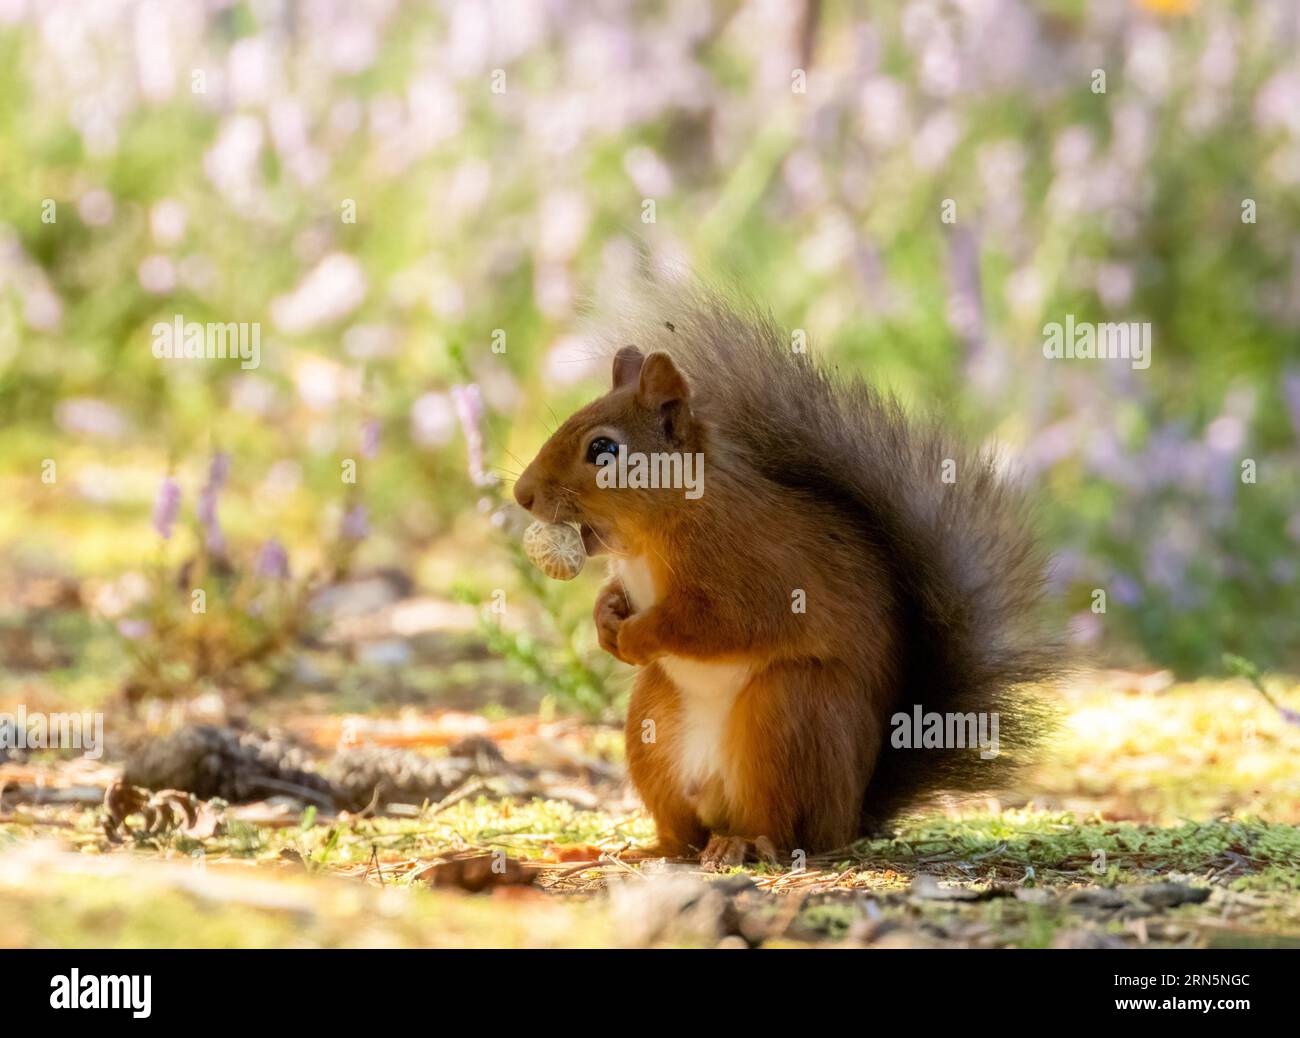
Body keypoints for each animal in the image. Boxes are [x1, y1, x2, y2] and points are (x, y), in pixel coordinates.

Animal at [514, 285, 1059, 868]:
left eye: (604, 450)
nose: (522, 494)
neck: (661, 523)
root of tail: (849, 816)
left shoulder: (754, 571)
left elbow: (720, 623)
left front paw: (638, 634)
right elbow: (617, 594)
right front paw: (605, 618)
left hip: (788, 713)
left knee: (781, 827)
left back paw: (745, 842)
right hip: (652, 724)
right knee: (682, 832)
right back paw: (638, 848)